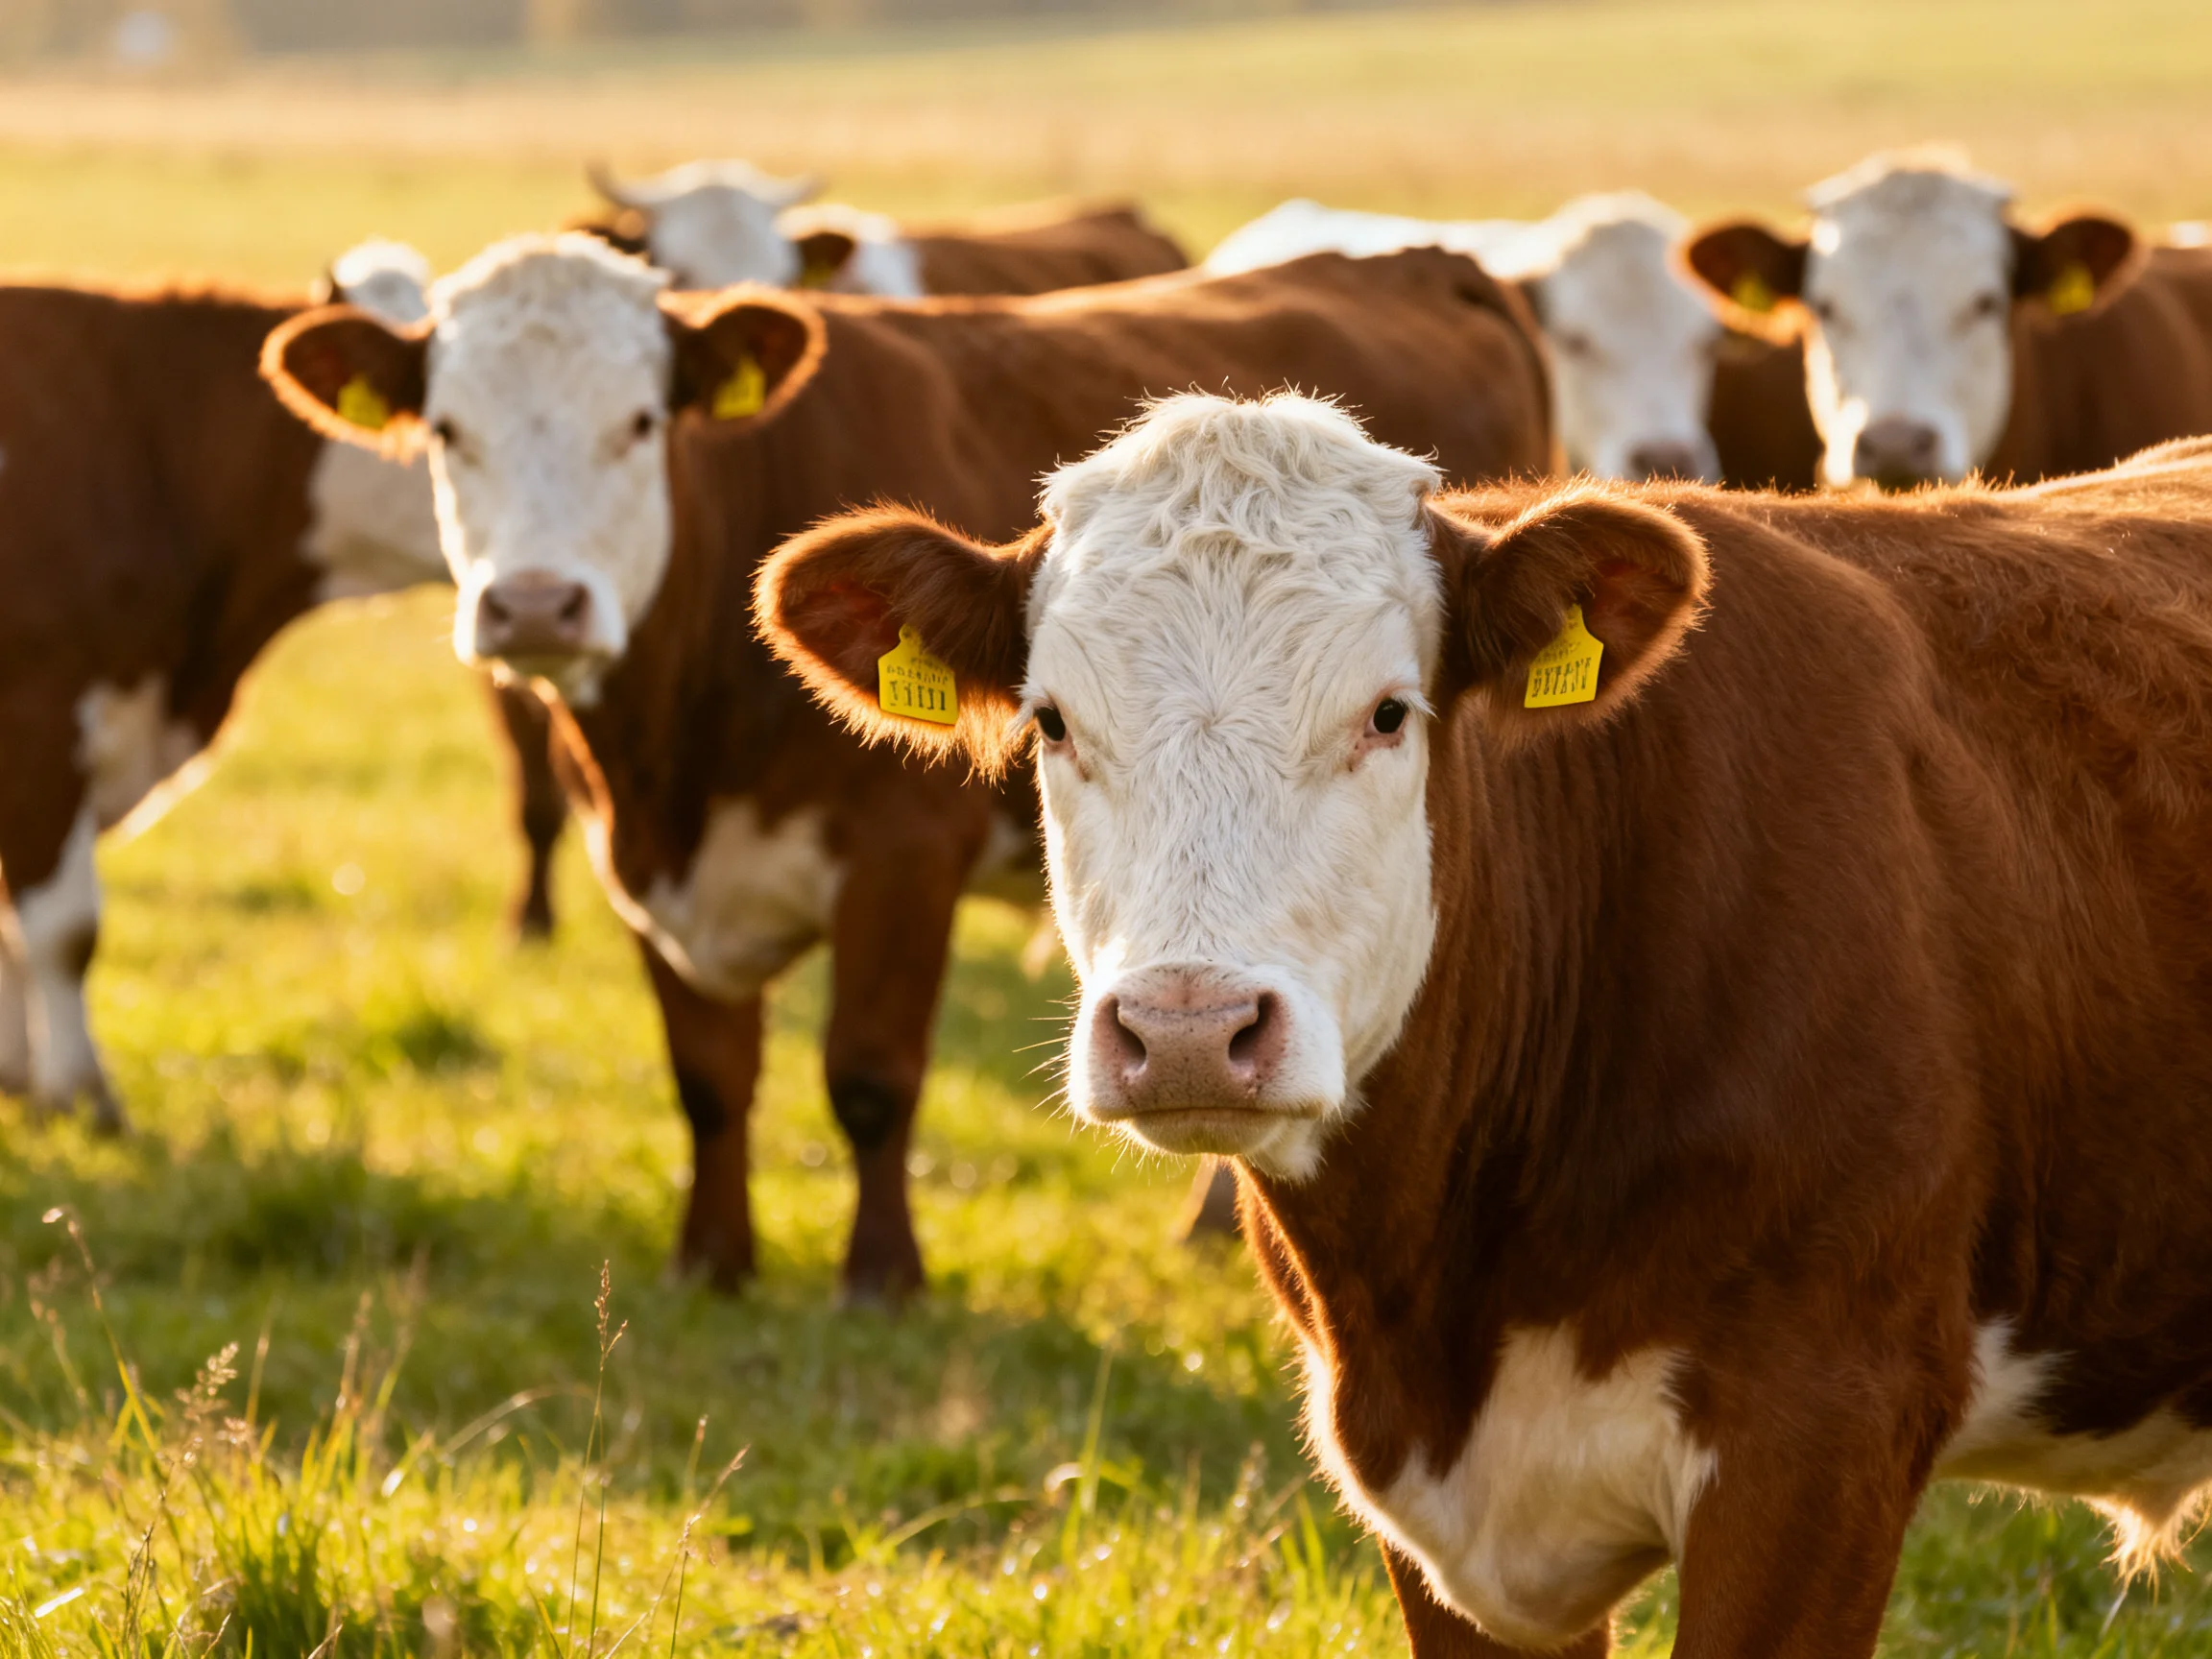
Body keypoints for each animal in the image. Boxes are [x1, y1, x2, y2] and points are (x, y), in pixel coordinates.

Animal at [260, 233, 1552, 1299]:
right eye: (445, 432)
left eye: (638, 422)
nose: (535, 605)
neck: (674, 756)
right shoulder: (643, 869)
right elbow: (707, 1075)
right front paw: (710, 1262)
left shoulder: (899, 860)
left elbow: (870, 1075)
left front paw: (880, 1275)